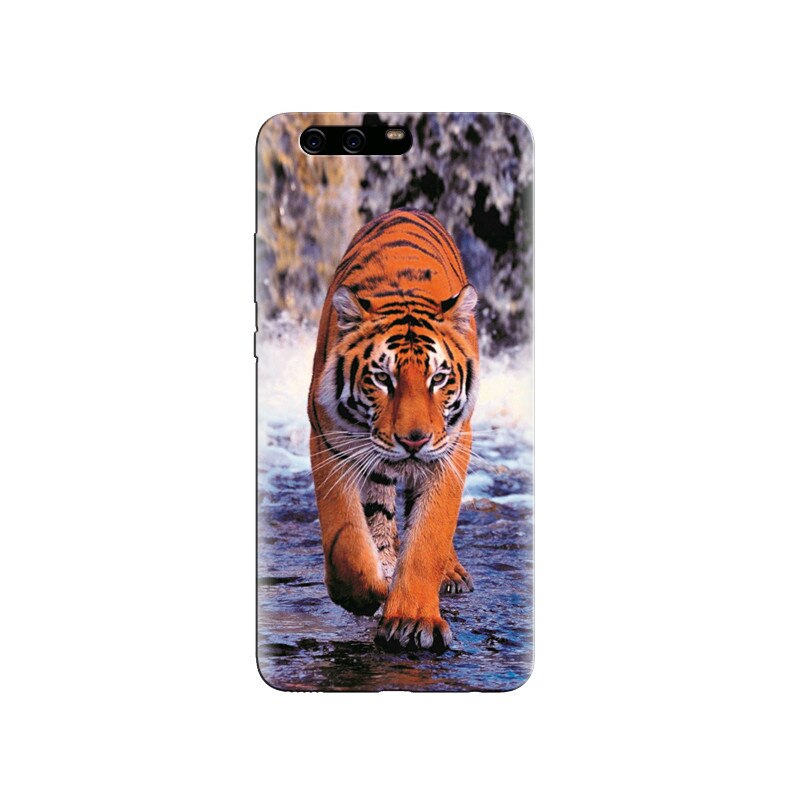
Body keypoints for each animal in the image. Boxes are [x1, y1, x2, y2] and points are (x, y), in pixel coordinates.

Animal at [307, 208, 479, 652]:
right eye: (382, 378)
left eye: (439, 378)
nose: (413, 440)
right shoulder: (330, 440)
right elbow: (346, 535)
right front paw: (365, 593)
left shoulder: (451, 447)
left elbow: (429, 534)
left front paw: (412, 619)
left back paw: (450, 574)